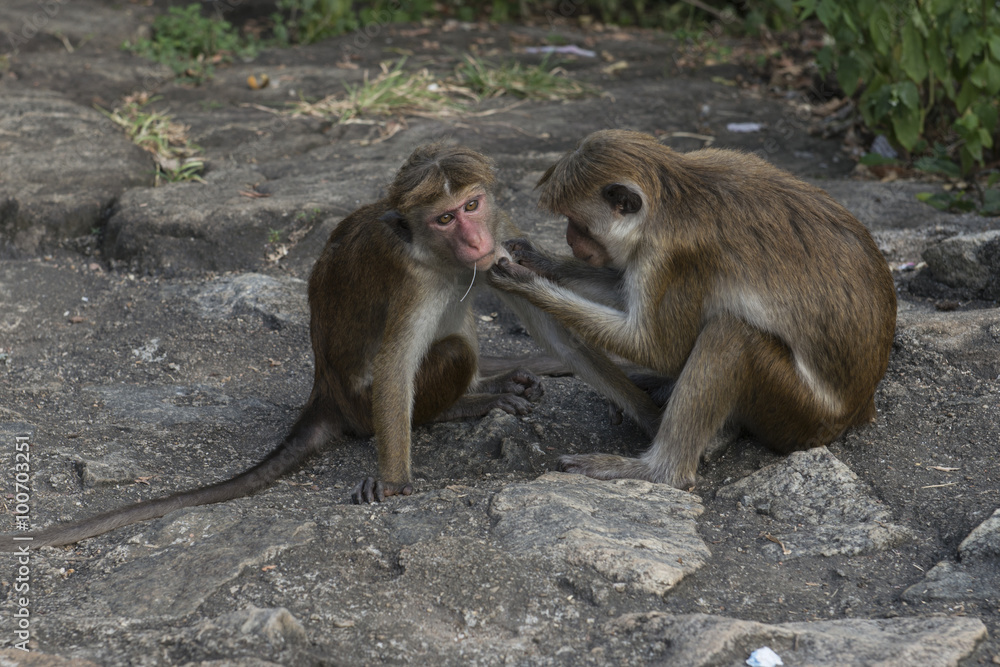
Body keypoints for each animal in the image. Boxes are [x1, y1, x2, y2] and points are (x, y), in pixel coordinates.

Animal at [0, 143, 574, 550]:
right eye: (446, 218)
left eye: (472, 205)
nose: (475, 241)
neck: (437, 253)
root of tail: (325, 393)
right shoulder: (414, 281)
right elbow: (395, 368)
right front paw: (393, 482)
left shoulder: (502, 228)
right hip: (361, 406)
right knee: (449, 353)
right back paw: (473, 400)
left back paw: (498, 375)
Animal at [488, 129, 897, 489]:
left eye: (578, 224)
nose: (570, 241)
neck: (673, 196)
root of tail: (859, 411)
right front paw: (538, 259)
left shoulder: (673, 254)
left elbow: (658, 348)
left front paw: (524, 281)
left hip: (798, 415)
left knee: (731, 332)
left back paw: (660, 471)